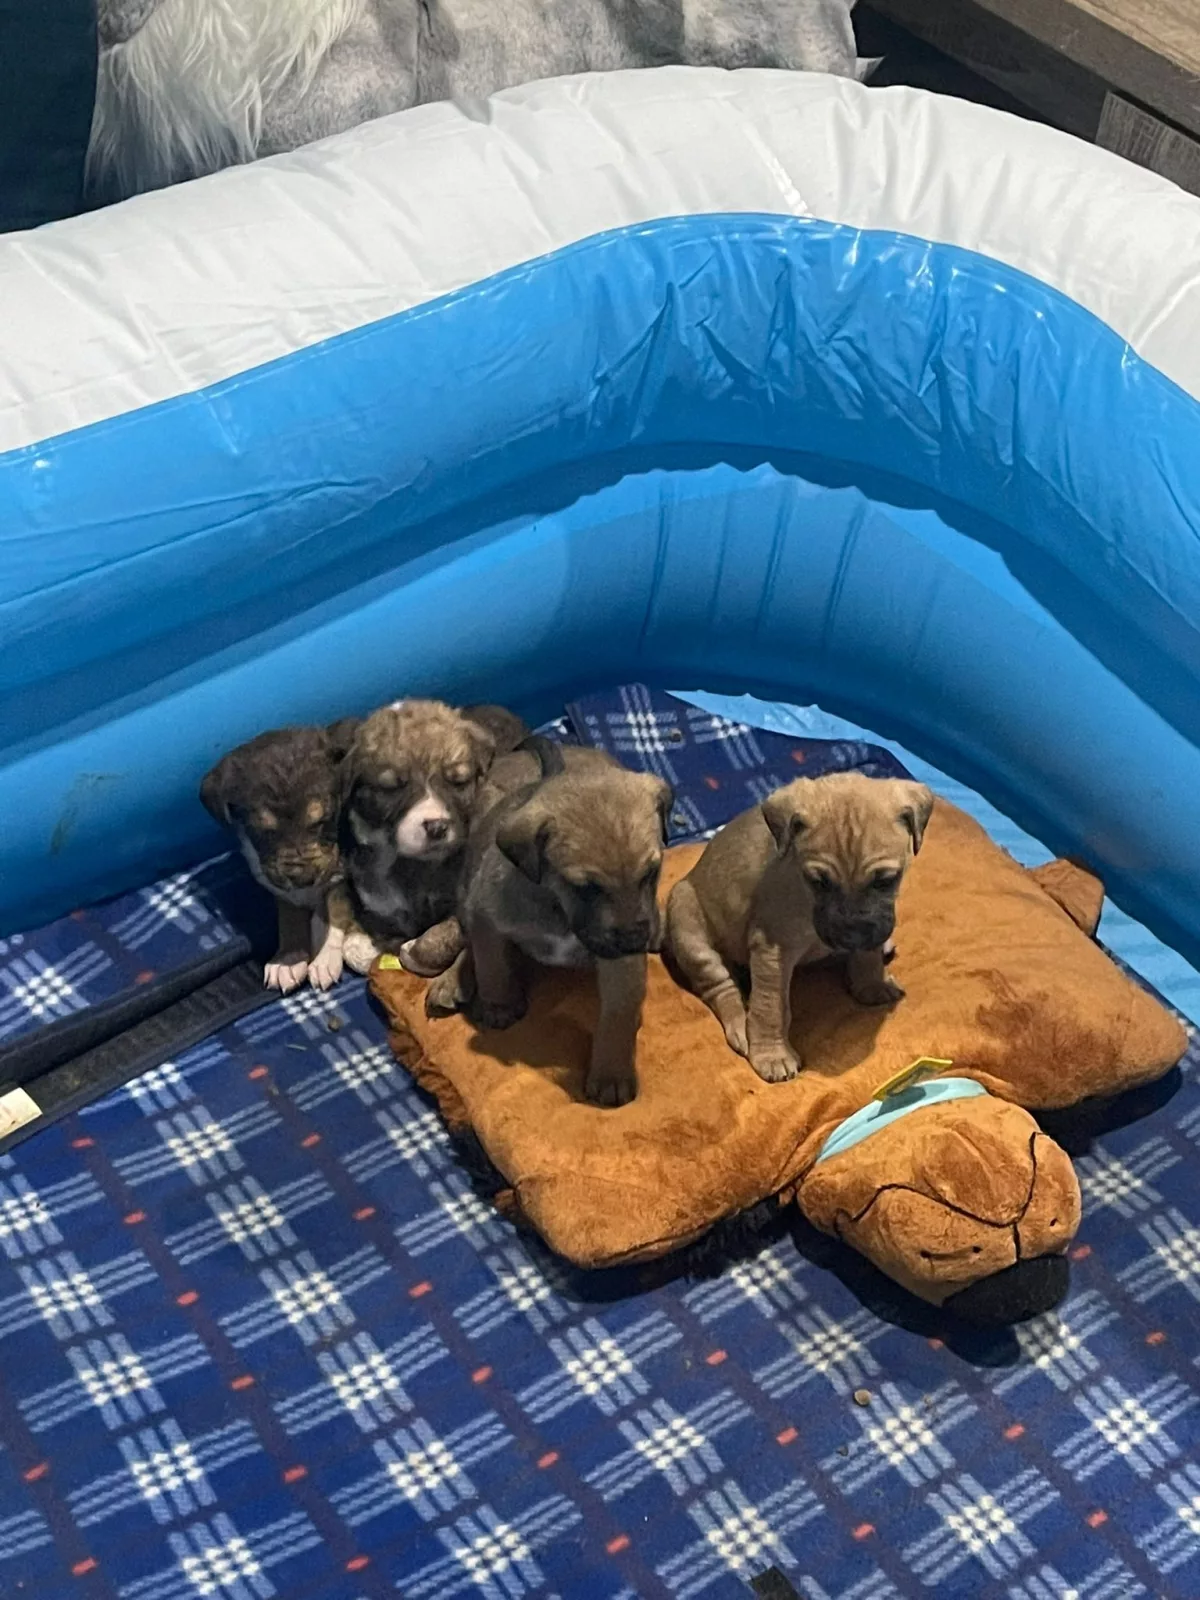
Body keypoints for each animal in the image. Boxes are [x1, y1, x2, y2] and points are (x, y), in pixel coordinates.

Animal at [200, 718, 361, 991]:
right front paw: (287, 960)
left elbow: (334, 903)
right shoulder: (277, 881)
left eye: (324, 821)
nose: (303, 879)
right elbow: (288, 914)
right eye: (265, 832)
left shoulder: (346, 867)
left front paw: (324, 957)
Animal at [338, 699, 529, 967]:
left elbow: (439, 939)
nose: (437, 827)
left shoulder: (461, 904)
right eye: (391, 788)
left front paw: (412, 950)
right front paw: (362, 945)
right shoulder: (377, 895)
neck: (411, 865)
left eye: (458, 781)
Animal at [427, 741, 672, 1106]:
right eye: (586, 888)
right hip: (468, 876)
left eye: (651, 873)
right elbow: (491, 964)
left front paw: (612, 1074)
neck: (558, 909)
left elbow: (618, 1014)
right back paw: (451, 979)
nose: (634, 939)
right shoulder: (486, 912)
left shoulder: (619, 959)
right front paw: (499, 1004)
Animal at [665, 771, 933, 1082]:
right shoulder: (773, 949)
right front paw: (772, 1055)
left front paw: (872, 983)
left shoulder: (876, 923)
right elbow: (771, 1007)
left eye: (885, 881)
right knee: (720, 988)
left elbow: (868, 956)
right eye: (819, 882)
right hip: (690, 930)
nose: (851, 937)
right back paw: (740, 1025)